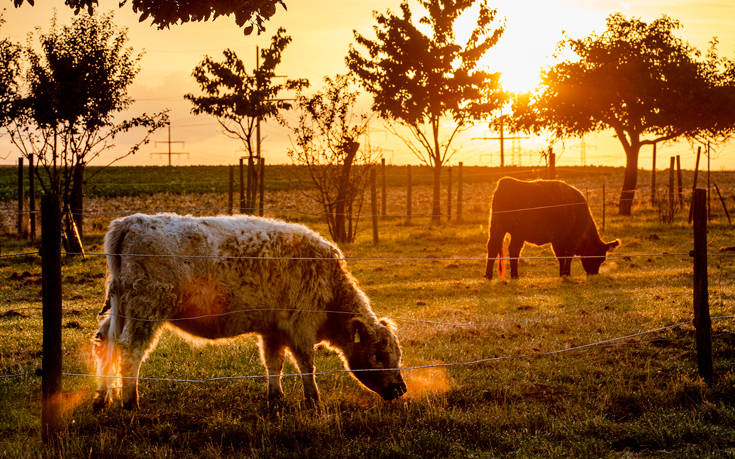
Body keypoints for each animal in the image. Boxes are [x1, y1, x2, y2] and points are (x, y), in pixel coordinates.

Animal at [92, 214, 408, 412]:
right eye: (379, 355)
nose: (401, 389)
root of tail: (132, 221)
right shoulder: (301, 327)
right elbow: (306, 364)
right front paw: (313, 400)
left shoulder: (273, 330)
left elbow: (274, 363)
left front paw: (276, 397)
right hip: (146, 310)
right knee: (129, 350)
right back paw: (130, 402)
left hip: (121, 309)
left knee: (106, 343)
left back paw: (102, 398)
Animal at [484, 178, 620, 280]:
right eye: (600, 258)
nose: (594, 274)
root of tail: (506, 181)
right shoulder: (566, 240)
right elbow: (565, 256)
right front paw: (566, 274)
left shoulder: (559, 241)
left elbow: (562, 257)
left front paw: (562, 274)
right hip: (506, 229)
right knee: (502, 249)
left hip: (505, 230)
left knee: (503, 249)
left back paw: (503, 276)